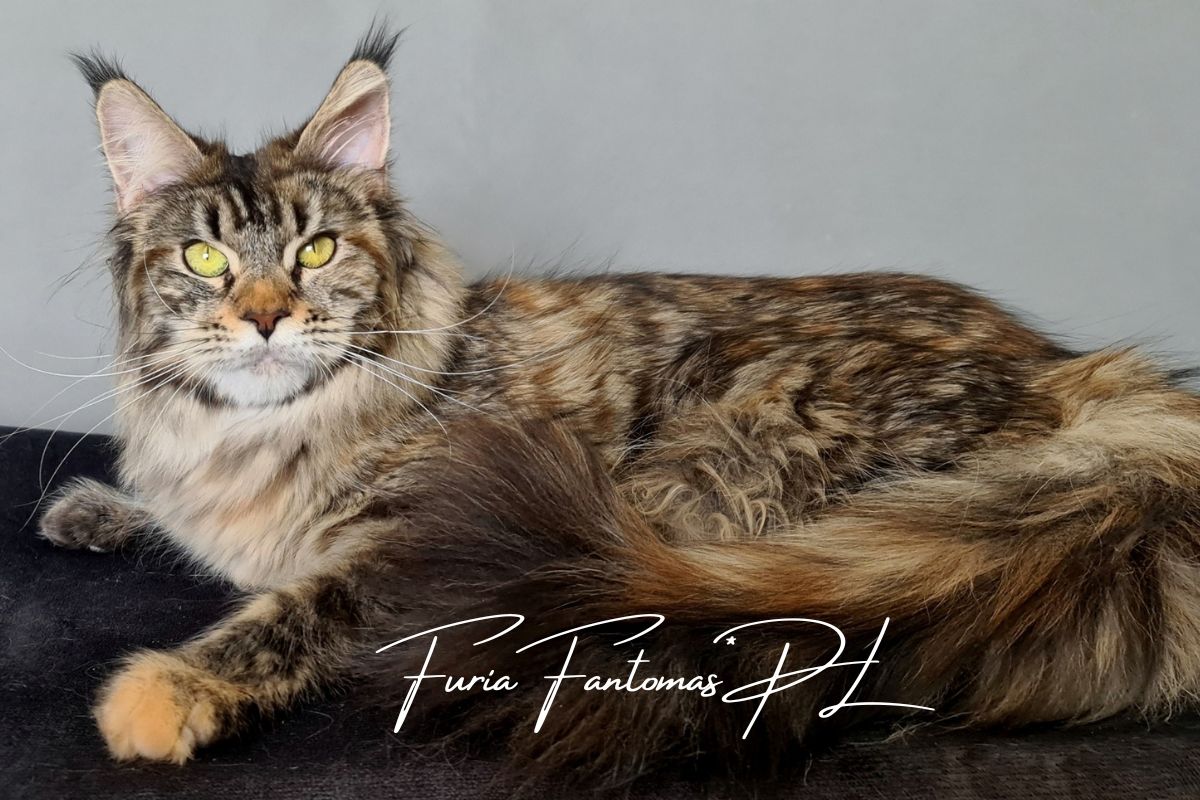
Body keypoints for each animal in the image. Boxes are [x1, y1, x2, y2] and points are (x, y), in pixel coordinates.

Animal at [38, 24, 1200, 790]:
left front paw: (162, 694)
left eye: (316, 251)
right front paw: (97, 507)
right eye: (206, 259)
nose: (269, 318)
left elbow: (293, 609)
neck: (264, 427)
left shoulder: (408, 536)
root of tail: (1073, 374)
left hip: (712, 463)